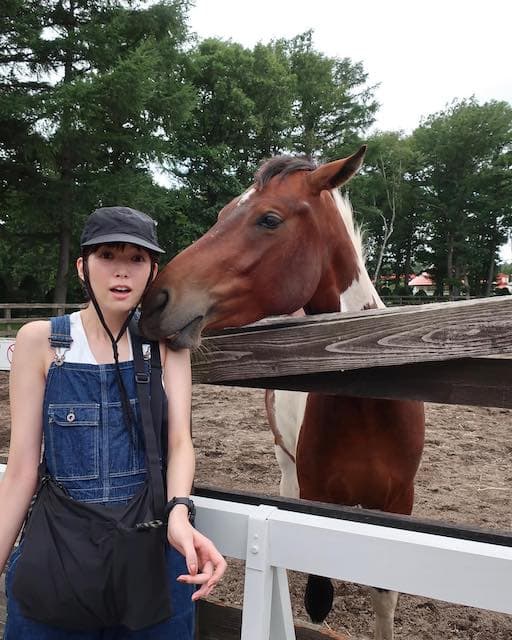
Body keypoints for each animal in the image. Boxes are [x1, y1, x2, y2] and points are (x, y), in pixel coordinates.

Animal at [140, 146, 425, 640]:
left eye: (269, 219)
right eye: (222, 214)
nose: (155, 300)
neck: (368, 405)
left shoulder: (398, 503)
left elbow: (384, 597)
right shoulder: (315, 498)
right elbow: (317, 596)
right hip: (287, 468)